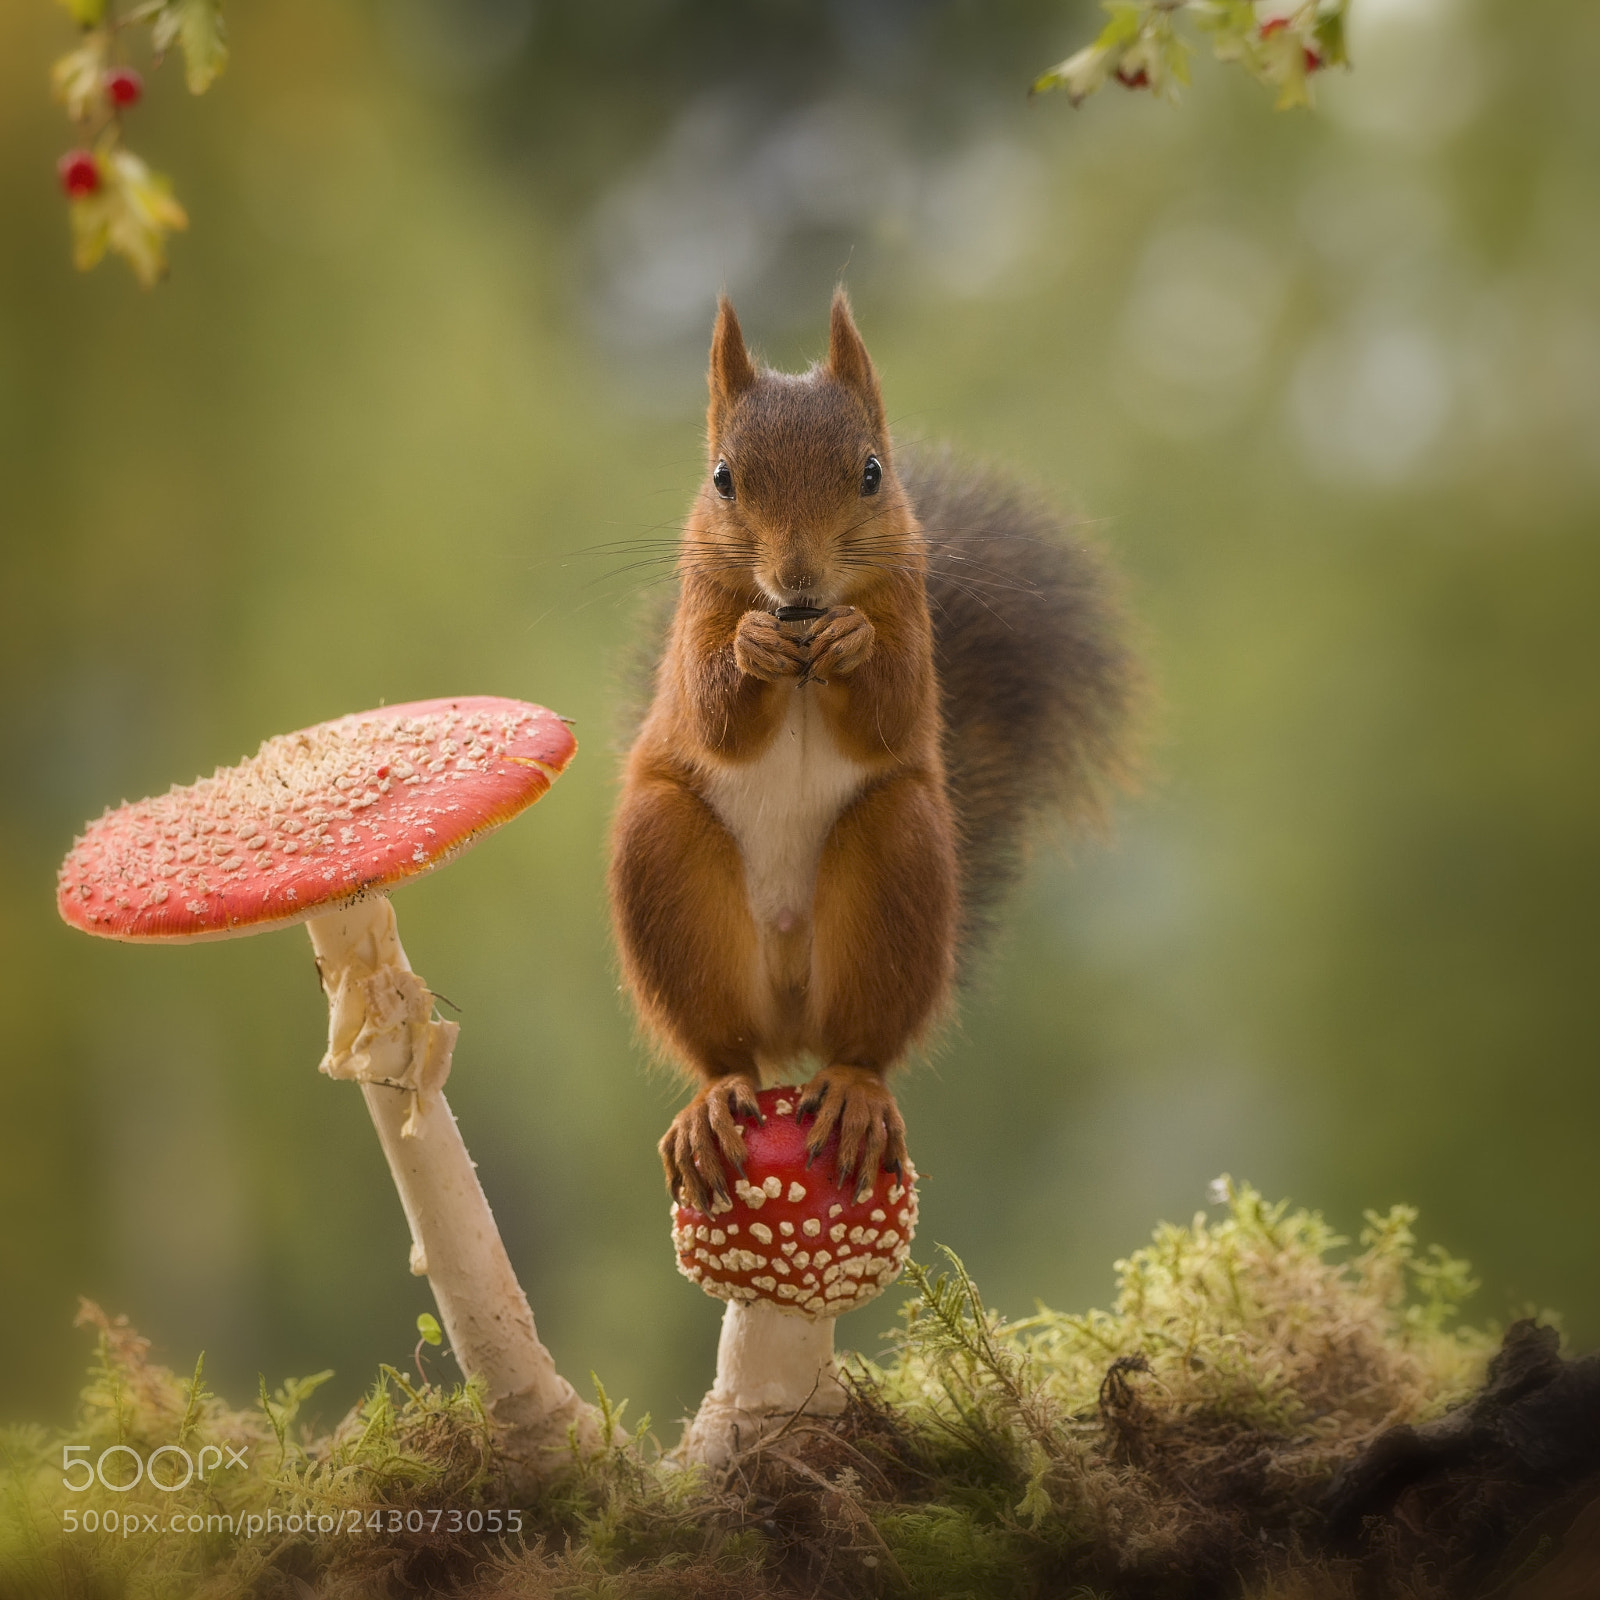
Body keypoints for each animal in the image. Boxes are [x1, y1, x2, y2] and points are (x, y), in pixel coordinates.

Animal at [608, 290, 1139, 1213]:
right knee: (724, 1051)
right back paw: (716, 1100)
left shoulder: (910, 608)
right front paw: (751, 649)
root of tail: (791, 1012)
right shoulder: (695, 617)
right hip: (665, 864)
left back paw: (853, 1094)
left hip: (899, 855)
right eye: (722, 478)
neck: (801, 634)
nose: (798, 578)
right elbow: (712, 716)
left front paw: (852, 642)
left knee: (861, 1045)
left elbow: (892, 713)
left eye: (871, 473)